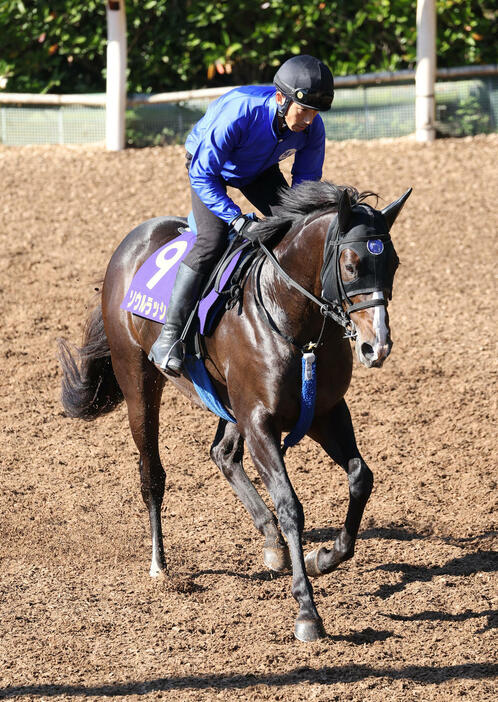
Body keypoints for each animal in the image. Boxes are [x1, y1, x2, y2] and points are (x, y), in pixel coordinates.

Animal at [58, 182, 410, 644]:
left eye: (393, 263)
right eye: (351, 265)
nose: (377, 346)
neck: (289, 317)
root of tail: (133, 241)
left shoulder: (325, 411)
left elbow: (360, 477)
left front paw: (324, 556)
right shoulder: (260, 420)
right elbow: (290, 506)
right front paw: (307, 611)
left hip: (227, 400)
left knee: (223, 454)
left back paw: (271, 543)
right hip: (138, 379)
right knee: (152, 471)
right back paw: (160, 563)